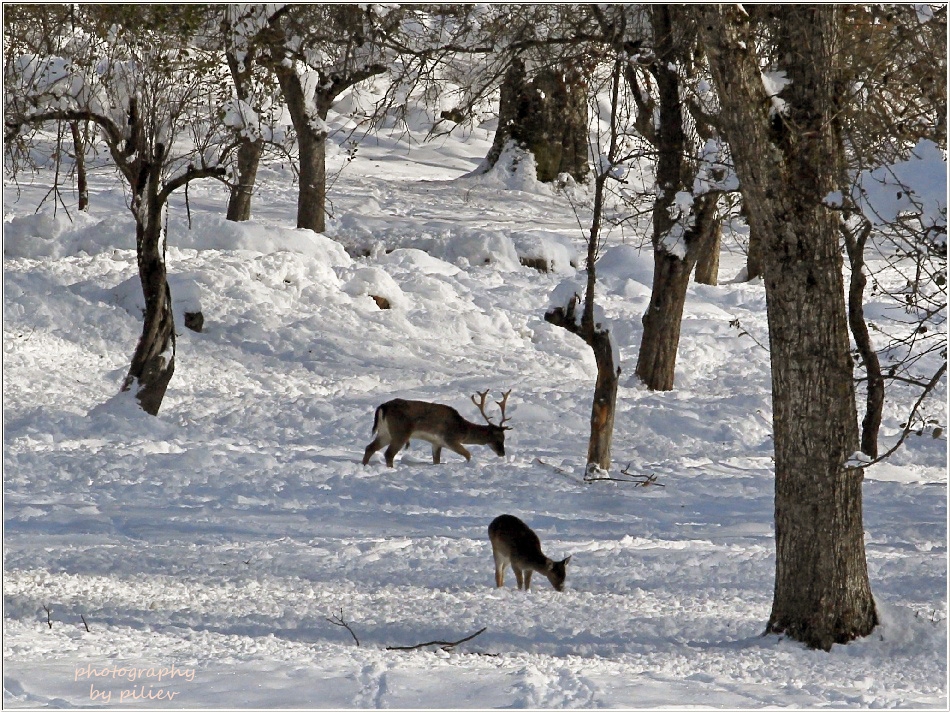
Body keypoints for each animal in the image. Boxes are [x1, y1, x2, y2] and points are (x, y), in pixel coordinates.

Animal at [362, 390, 512, 468]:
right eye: (499, 437)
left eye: (505, 437)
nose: (502, 453)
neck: (462, 430)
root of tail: (382, 407)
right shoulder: (450, 439)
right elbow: (468, 454)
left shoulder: (436, 443)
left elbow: (436, 460)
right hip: (400, 432)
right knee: (388, 453)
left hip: (385, 433)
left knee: (370, 447)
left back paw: (364, 465)